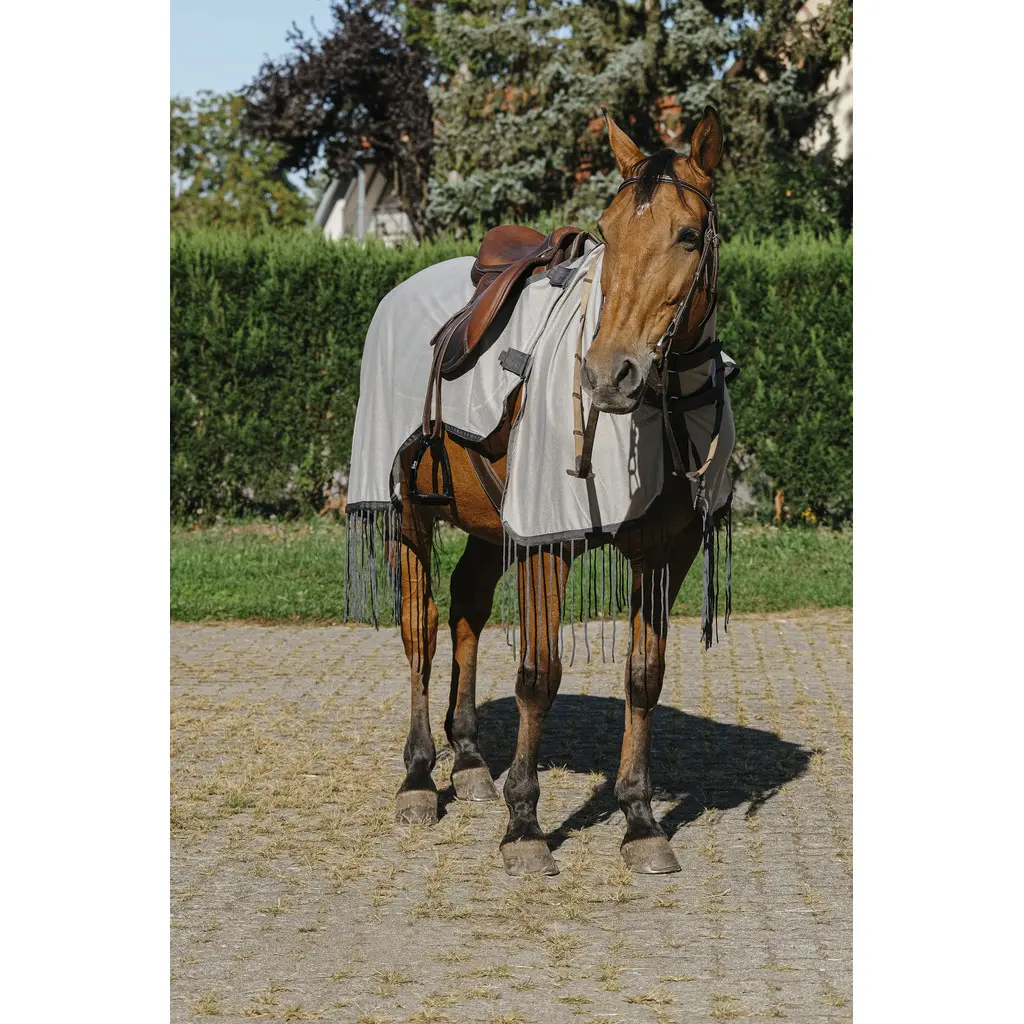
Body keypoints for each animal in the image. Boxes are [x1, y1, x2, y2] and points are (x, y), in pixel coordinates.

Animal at [369, 107, 726, 876]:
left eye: (688, 234)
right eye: (609, 231)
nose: (609, 374)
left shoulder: (665, 553)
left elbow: (645, 675)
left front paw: (639, 818)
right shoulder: (546, 542)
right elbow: (539, 674)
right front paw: (525, 825)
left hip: (485, 523)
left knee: (467, 610)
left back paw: (471, 762)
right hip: (406, 514)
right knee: (422, 628)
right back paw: (419, 777)